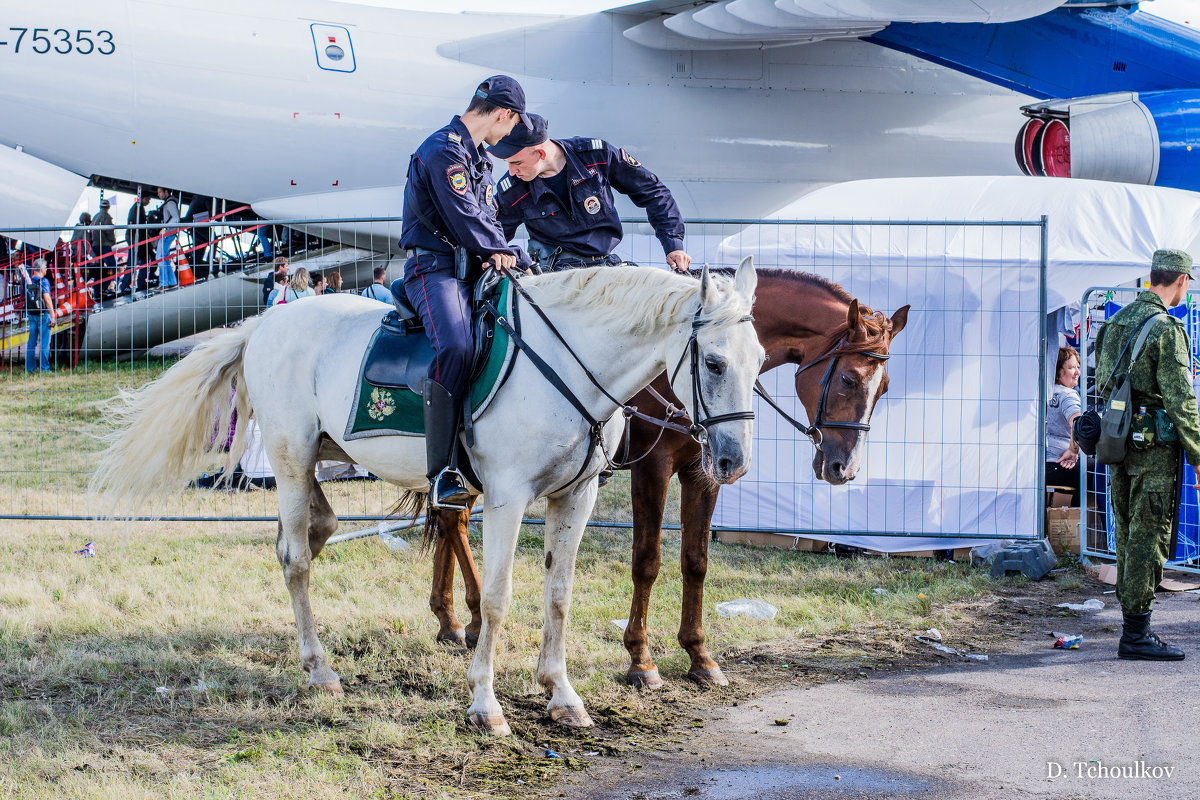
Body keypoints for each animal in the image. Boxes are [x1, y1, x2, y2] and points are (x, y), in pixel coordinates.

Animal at [98, 260, 763, 734]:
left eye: (759, 361)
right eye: (712, 362)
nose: (731, 461)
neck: (567, 365)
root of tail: (265, 323)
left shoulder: (573, 501)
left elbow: (559, 597)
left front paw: (562, 696)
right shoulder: (507, 499)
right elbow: (496, 599)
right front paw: (486, 705)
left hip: (318, 460)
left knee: (313, 530)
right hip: (289, 459)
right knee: (296, 559)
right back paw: (320, 669)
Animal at [427, 271, 902, 690]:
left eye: (884, 388)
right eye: (848, 379)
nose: (844, 469)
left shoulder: (703, 472)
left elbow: (695, 562)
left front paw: (699, 656)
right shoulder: (652, 468)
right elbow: (647, 561)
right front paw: (641, 660)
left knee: (450, 518)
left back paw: (450, 621)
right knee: (454, 520)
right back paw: (469, 618)